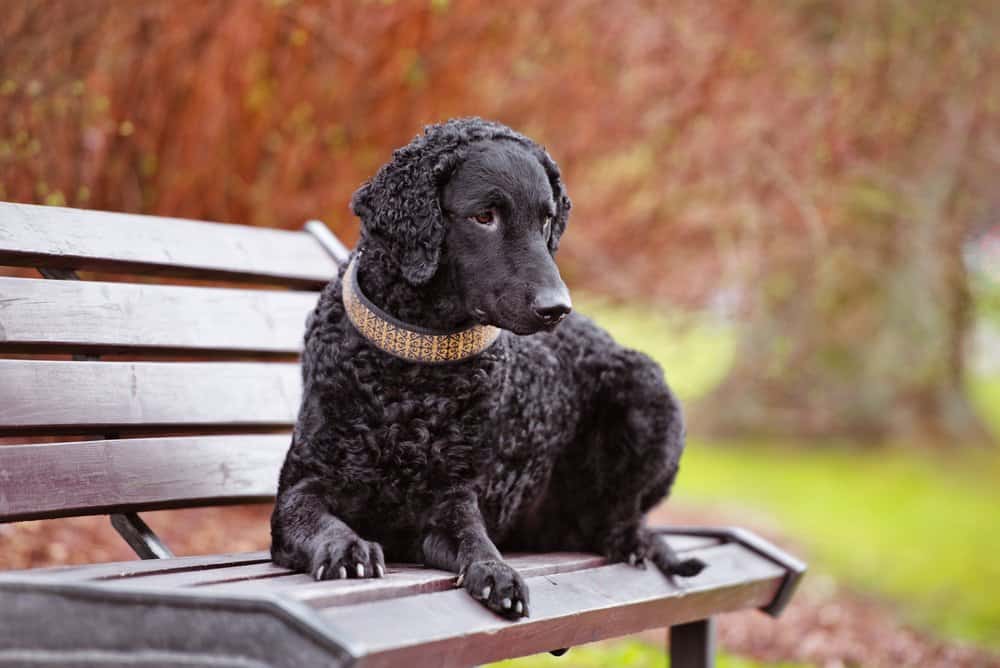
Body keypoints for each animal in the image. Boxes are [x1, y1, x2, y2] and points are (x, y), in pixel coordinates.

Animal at [266, 116, 704, 620]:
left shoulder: (452, 501)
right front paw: (346, 548)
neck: (416, 376)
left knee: (624, 519)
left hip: (647, 389)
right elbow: (319, 520)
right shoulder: (301, 489)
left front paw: (497, 574)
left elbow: (476, 541)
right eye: (484, 217)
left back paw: (633, 543)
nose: (557, 308)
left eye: (545, 219)